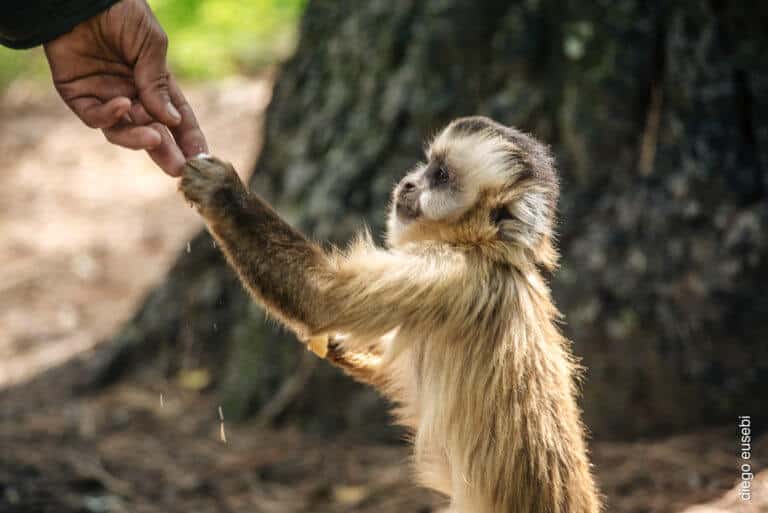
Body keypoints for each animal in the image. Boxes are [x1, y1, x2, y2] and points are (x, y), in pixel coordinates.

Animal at [178, 116, 600, 512]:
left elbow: (322, 300)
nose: (410, 183)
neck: (487, 251)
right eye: (427, 165)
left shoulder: (448, 272)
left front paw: (223, 192)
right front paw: (339, 347)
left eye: (440, 176)